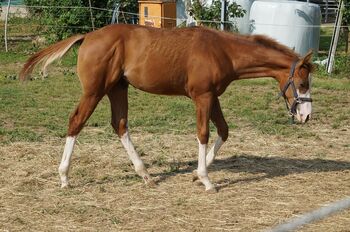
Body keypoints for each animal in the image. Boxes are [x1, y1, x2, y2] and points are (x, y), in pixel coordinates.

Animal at [20, 24, 314, 192]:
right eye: (302, 83)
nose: (306, 116)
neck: (223, 51)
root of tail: (88, 36)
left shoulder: (213, 97)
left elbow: (224, 131)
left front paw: (196, 175)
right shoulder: (202, 97)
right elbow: (204, 134)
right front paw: (206, 180)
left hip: (118, 88)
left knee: (120, 125)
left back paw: (145, 175)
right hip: (95, 91)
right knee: (76, 122)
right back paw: (64, 177)